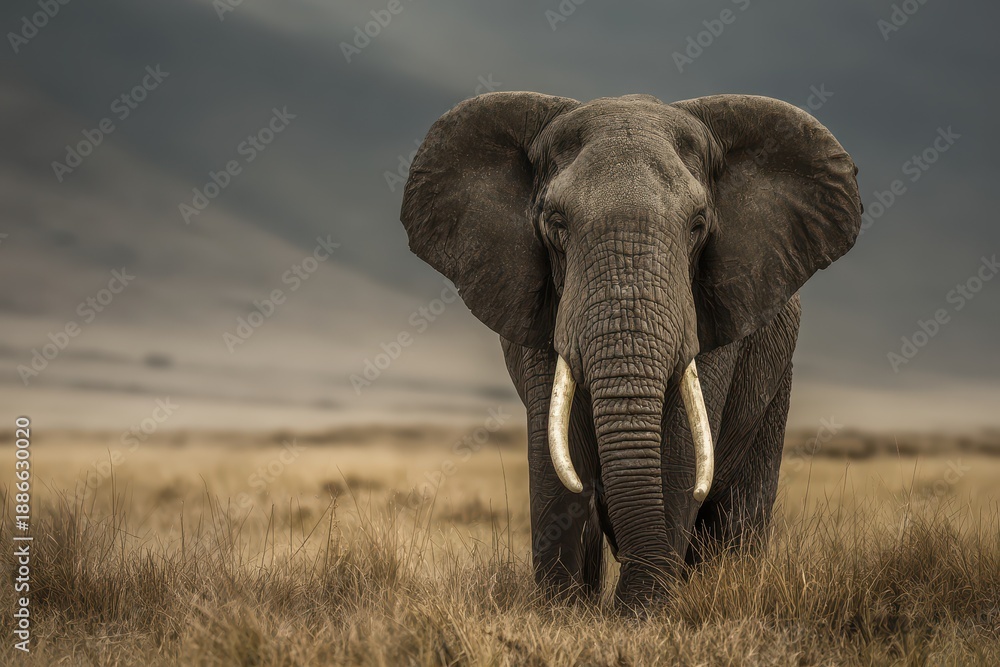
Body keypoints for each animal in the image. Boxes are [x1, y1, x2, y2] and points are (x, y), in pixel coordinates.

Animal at [399, 92, 862, 612]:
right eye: (556, 224)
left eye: (698, 225)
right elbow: (555, 455)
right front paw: (563, 613)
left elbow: (679, 450)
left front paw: (640, 614)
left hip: (775, 377)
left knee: (741, 509)